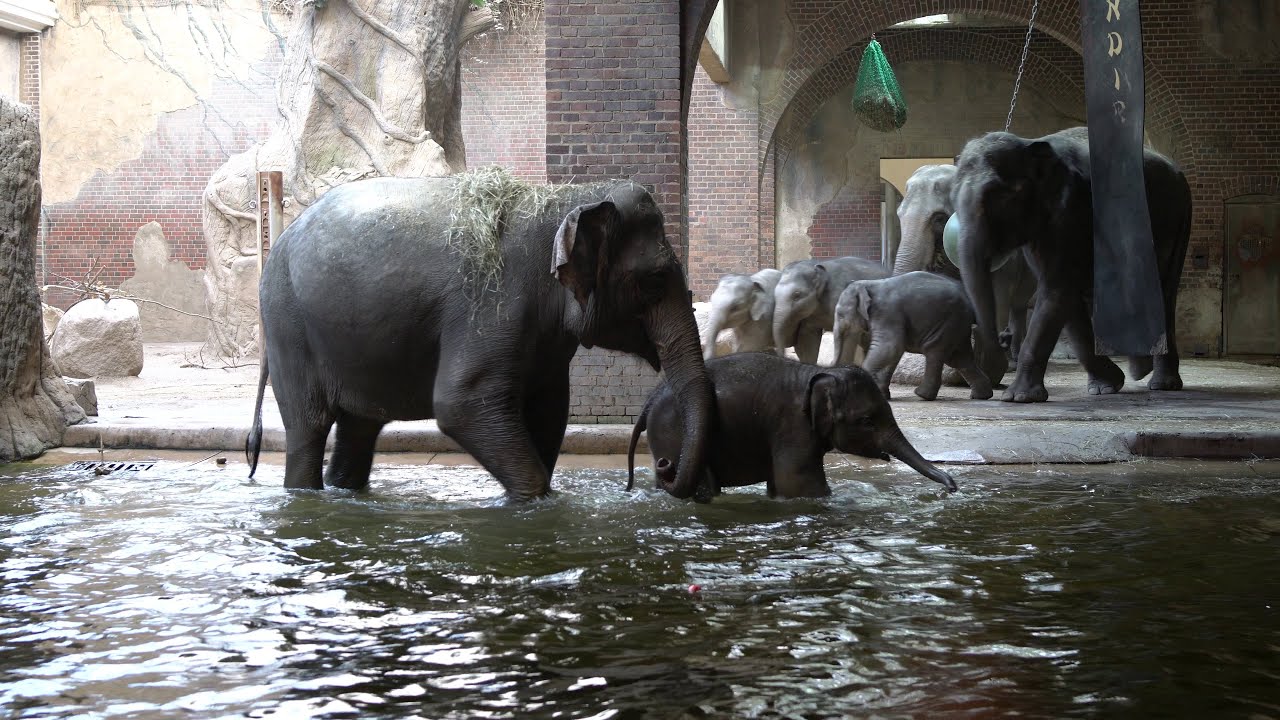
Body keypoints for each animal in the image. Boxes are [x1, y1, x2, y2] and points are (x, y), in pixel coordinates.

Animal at [245, 170, 714, 500]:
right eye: (654, 281)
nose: (664, 470)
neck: (566, 197)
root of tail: (281, 238)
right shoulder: (492, 303)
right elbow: (462, 405)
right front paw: (532, 499)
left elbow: (550, 412)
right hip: (289, 327)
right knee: (308, 428)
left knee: (359, 428)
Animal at [626, 352, 957, 500]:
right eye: (866, 421)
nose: (952, 486)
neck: (819, 371)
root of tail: (650, 399)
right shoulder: (792, 426)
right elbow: (798, 484)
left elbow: (781, 486)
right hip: (672, 431)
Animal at [832, 271, 992, 401]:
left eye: (840, 314)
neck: (869, 283)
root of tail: (969, 305)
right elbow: (893, 353)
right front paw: (883, 396)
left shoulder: (887, 313)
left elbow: (890, 347)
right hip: (957, 326)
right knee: (959, 359)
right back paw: (981, 396)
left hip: (948, 322)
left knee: (935, 352)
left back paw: (922, 395)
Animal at [891, 163, 1036, 384]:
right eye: (899, 214)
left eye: (939, 218)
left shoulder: (1005, 259)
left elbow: (997, 298)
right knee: (1018, 307)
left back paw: (1012, 363)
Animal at [951, 127, 1192, 403]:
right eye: (952, 196)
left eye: (1002, 195)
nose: (1003, 338)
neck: (1029, 144)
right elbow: (1066, 299)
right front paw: (1107, 385)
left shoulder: (1072, 210)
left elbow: (1057, 290)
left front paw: (1018, 397)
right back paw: (1139, 370)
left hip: (1179, 218)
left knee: (1164, 292)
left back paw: (1160, 382)